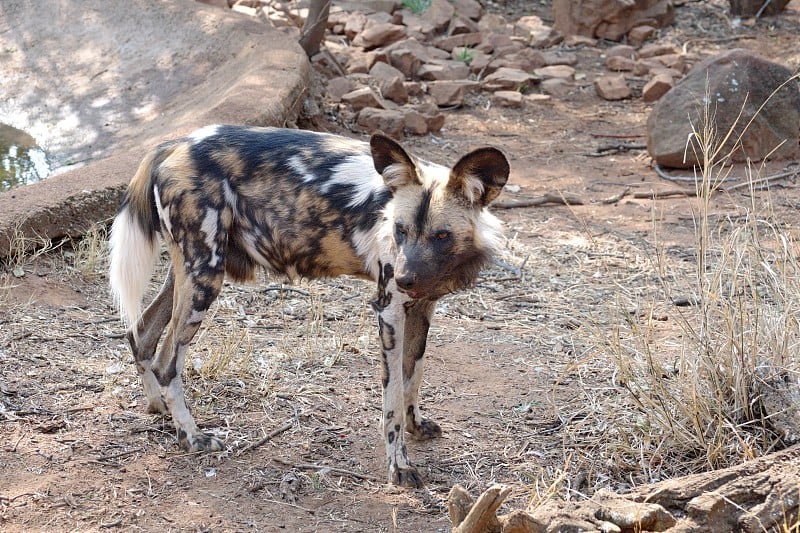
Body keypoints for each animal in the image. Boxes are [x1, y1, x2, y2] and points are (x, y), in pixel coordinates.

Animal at [109, 125, 510, 486]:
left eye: (441, 236)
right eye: (400, 231)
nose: (404, 278)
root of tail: (173, 144)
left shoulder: (422, 305)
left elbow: (414, 376)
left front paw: (415, 424)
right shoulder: (389, 309)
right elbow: (393, 398)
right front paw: (399, 466)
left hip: (191, 273)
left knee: (141, 334)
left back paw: (159, 409)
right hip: (205, 279)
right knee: (167, 361)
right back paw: (192, 437)